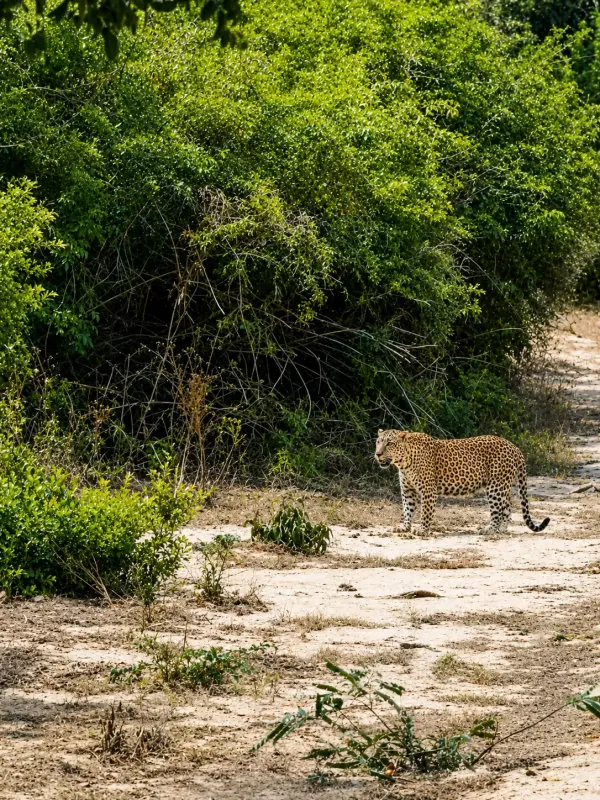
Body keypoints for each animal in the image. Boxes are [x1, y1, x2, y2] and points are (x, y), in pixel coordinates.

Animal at [375, 429, 550, 535]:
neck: (403, 462)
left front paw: (422, 529)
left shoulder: (428, 490)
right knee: (507, 507)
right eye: (378, 442)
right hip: (502, 486)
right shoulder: (408, 490)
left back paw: (489, 529)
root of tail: (515, 448)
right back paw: (502, 529)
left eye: (389, 443)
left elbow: (425, 512)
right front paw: (404, 527)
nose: (377, 454)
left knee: (497, 510)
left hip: (495, 487)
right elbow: (407, 509)